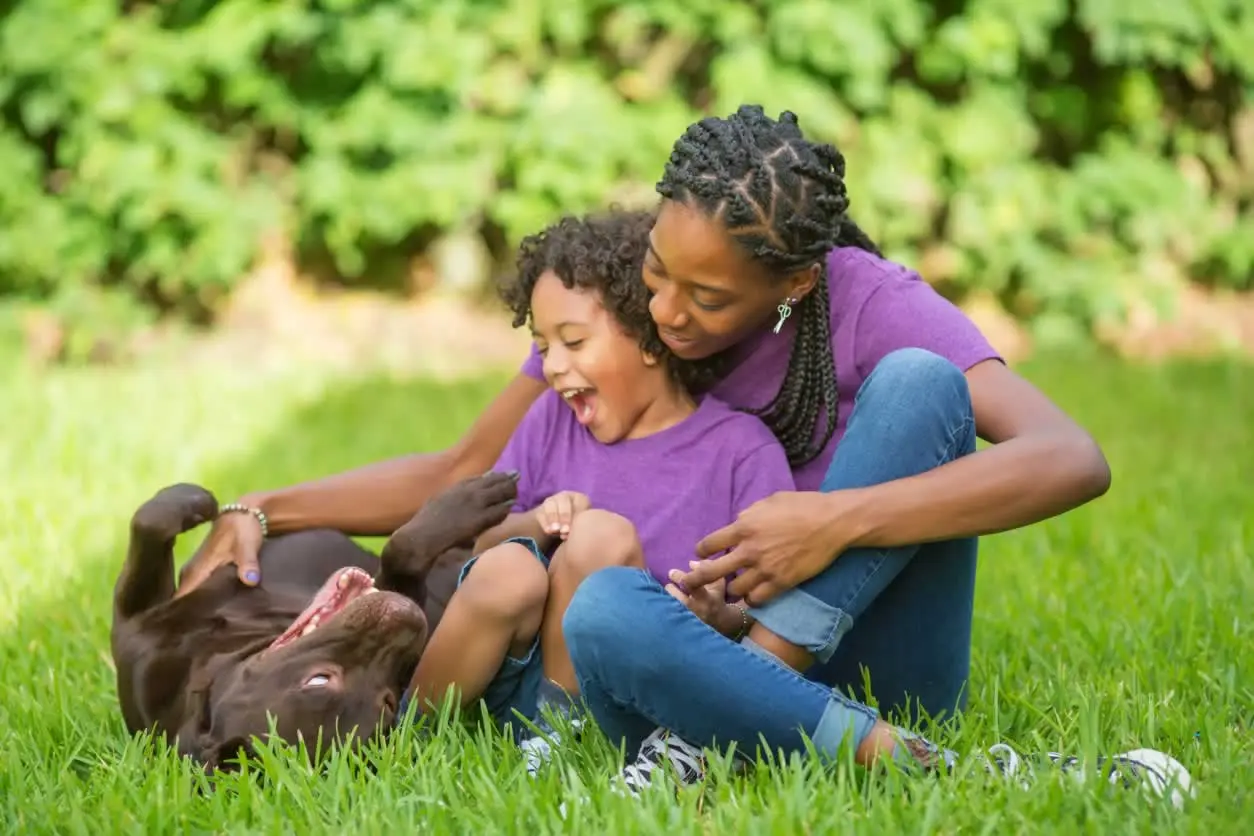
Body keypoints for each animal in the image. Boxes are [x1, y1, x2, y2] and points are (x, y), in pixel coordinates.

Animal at [110, 471, 516, 772]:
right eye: (319, 680)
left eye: (388, 700)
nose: (411, 628)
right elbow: (401, 551)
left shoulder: (137, 625)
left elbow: (149, 522)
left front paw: (194, 501)